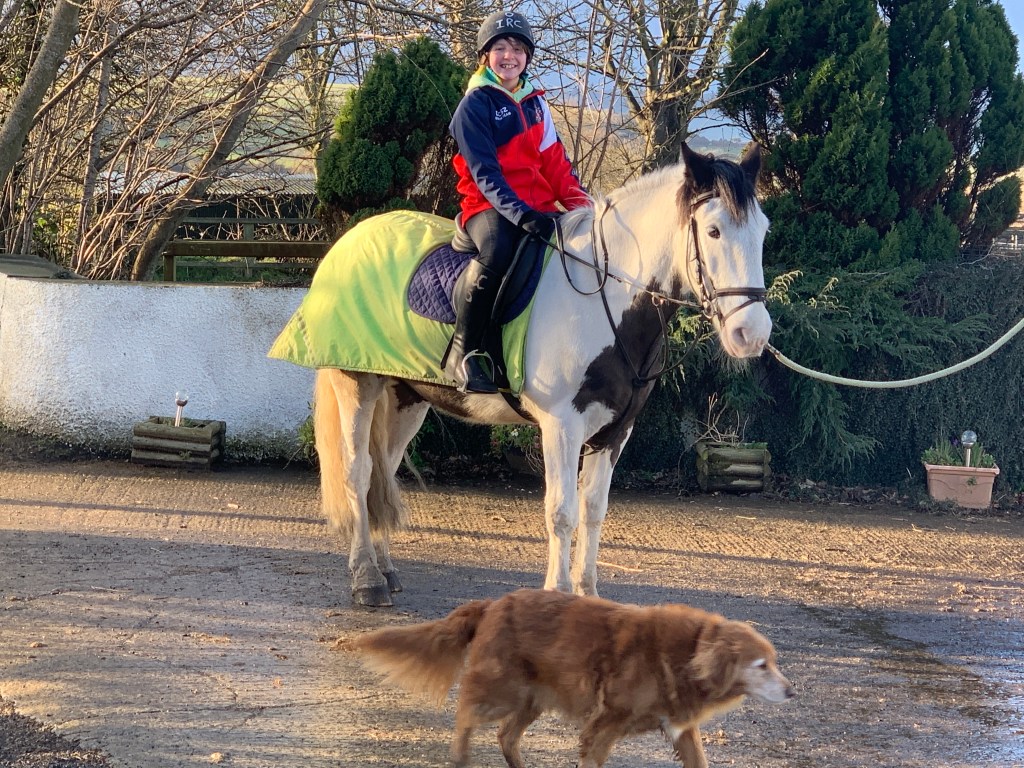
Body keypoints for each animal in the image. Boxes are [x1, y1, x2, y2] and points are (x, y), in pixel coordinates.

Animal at [296, 143, 771, 607]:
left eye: (762, 232)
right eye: (713, 231)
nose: (752, 333)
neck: (603, 298)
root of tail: (348, 241)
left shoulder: (616, 431)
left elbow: (593, 510)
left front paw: (587, 592)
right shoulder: (562, 424)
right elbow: (561, 511)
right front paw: (557, 595)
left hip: (405, 399)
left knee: (384, 471)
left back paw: (386, 569)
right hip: (356, 385)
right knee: (357, 472)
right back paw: (366, 579)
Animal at [352, 588, 794, 768]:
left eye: (775, 661)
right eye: (761, 665)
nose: (792, 691)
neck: (689, 653)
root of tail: (492, 604)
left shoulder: (681, 730)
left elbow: (699, 760)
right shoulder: (605, 723)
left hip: (531, 700)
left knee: (505, 736)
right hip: (505, 690)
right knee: (465, 715)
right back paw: (460, 756)